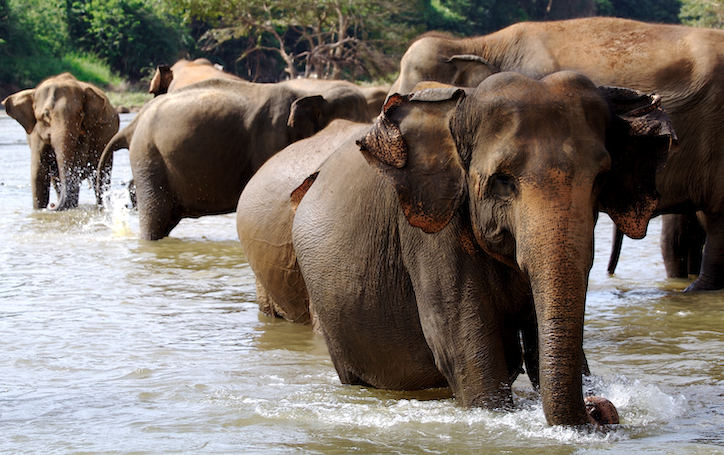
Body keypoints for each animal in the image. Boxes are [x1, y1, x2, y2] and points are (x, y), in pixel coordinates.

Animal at [2, 73, 119, 210]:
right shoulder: (36, 134)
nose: (52, 205)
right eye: (46, 114)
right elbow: (38, 174)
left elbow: (74, 170)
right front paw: (39, 209)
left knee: (101, 178)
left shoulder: (86, 134)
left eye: (80, 114)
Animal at [292, 72, 676, 428]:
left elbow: (537, 338)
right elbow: (459, 342)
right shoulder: (430, 229)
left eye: (600, 180)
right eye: (503, 181)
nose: (600, 408)